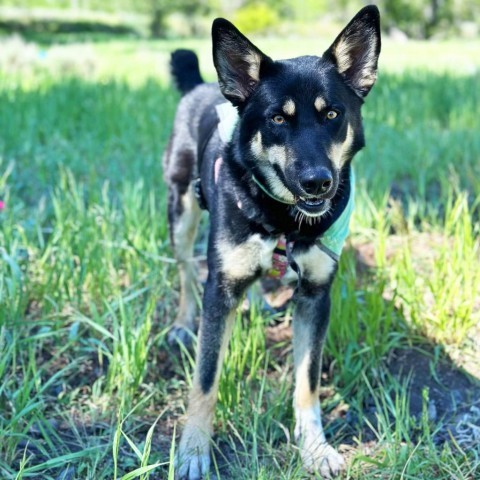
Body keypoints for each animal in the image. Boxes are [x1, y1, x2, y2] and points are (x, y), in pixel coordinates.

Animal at [165, 6, 382, 476]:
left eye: (332, 115)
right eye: (278, 119)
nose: (318, 182)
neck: (284, 220)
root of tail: (202, 85)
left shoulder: (315, 297)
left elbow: (307, 383)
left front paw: (314, 448)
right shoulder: (220, 291)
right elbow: (205, 381)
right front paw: (193, 450)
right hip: (181, 211)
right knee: (186, 270)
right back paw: (182, 322)